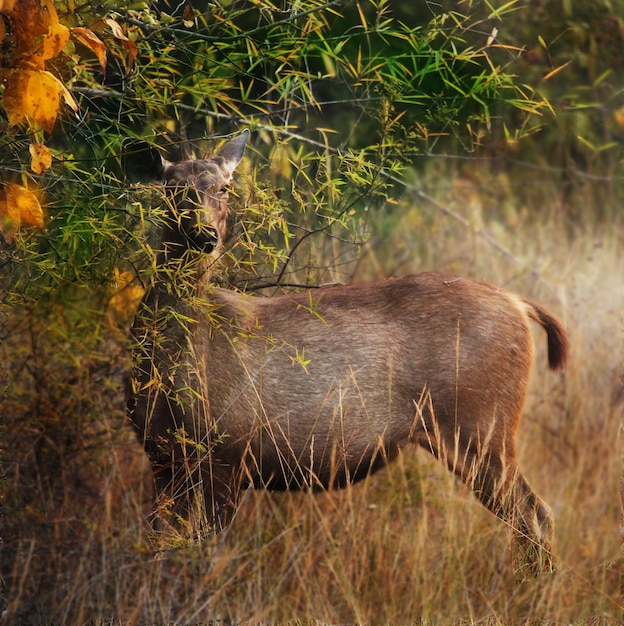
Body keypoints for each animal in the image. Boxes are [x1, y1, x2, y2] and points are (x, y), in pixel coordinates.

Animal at [125, 130, 564, 576]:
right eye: (172, 189)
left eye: (225, 188)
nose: (205, 236)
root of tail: (519, 303)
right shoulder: (161, 458)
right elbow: (163, 545)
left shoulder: (229, 452)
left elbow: (202, 555)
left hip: (481, 423)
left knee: (535, 514)